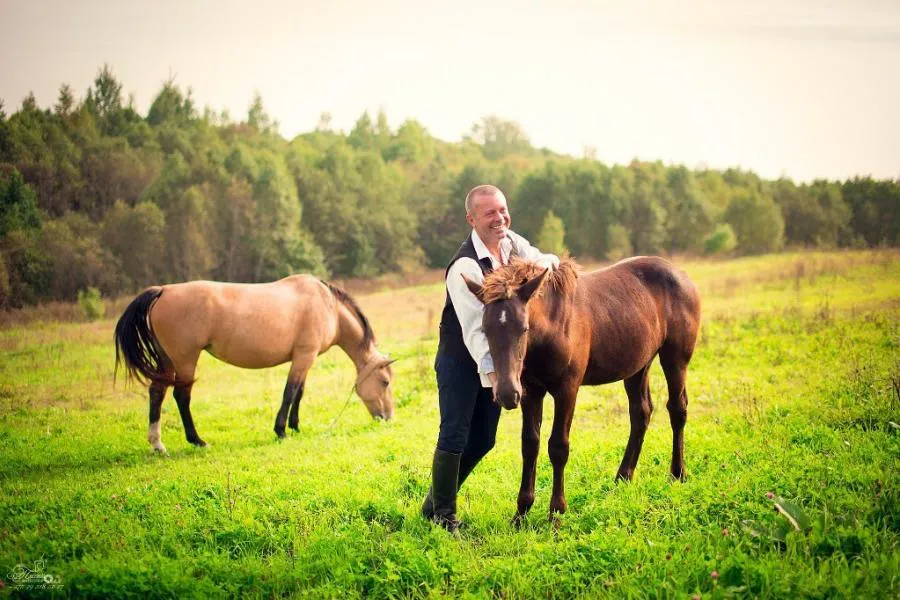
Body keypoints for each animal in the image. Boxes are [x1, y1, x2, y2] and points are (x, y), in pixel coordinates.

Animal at [114, 274, 396, 452]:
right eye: (384, 382)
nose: (387, 418)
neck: (329, 307)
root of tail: (165, 290)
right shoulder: (304, 356)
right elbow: (290, 392)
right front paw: (281, 430)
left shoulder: (305, 358)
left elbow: (299, 392)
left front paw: (295, 426)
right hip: (185, 360)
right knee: (181, 397)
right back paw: (197, 441)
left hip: (167, 360)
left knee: (157, 393)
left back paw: (157, 444)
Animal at [464, 255, 704, 524]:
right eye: (485, 329)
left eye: (524, 328)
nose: (506, 394)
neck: (554, 325)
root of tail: (681, 274)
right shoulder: (530, 391)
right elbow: (530, 444)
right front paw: (521, 513)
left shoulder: (567, 389)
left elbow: (558, 446)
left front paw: (556, 513)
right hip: (638, 364)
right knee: (641, 412)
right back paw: (623, 478)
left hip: (675, 359)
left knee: (677, 408)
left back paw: (677, 474)